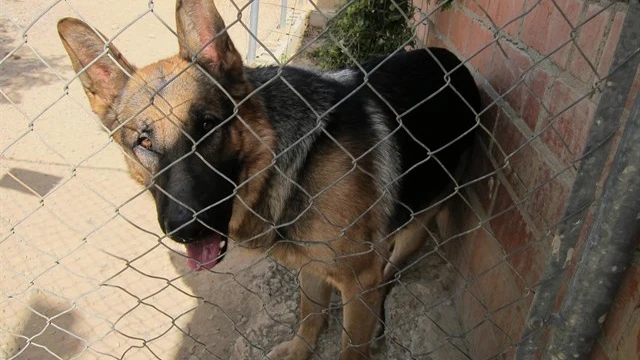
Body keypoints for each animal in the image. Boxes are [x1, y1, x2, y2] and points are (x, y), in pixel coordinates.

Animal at [58, 1, 480, 358]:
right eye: (143, 143)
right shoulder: (313, 265)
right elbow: (310, 313)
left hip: (421, 220)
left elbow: (349, 345)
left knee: (392, 266)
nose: (185, 229)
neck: (292, 164)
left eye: (207, 124)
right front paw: (300, 349)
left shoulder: (358, 278)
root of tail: (452, 60)